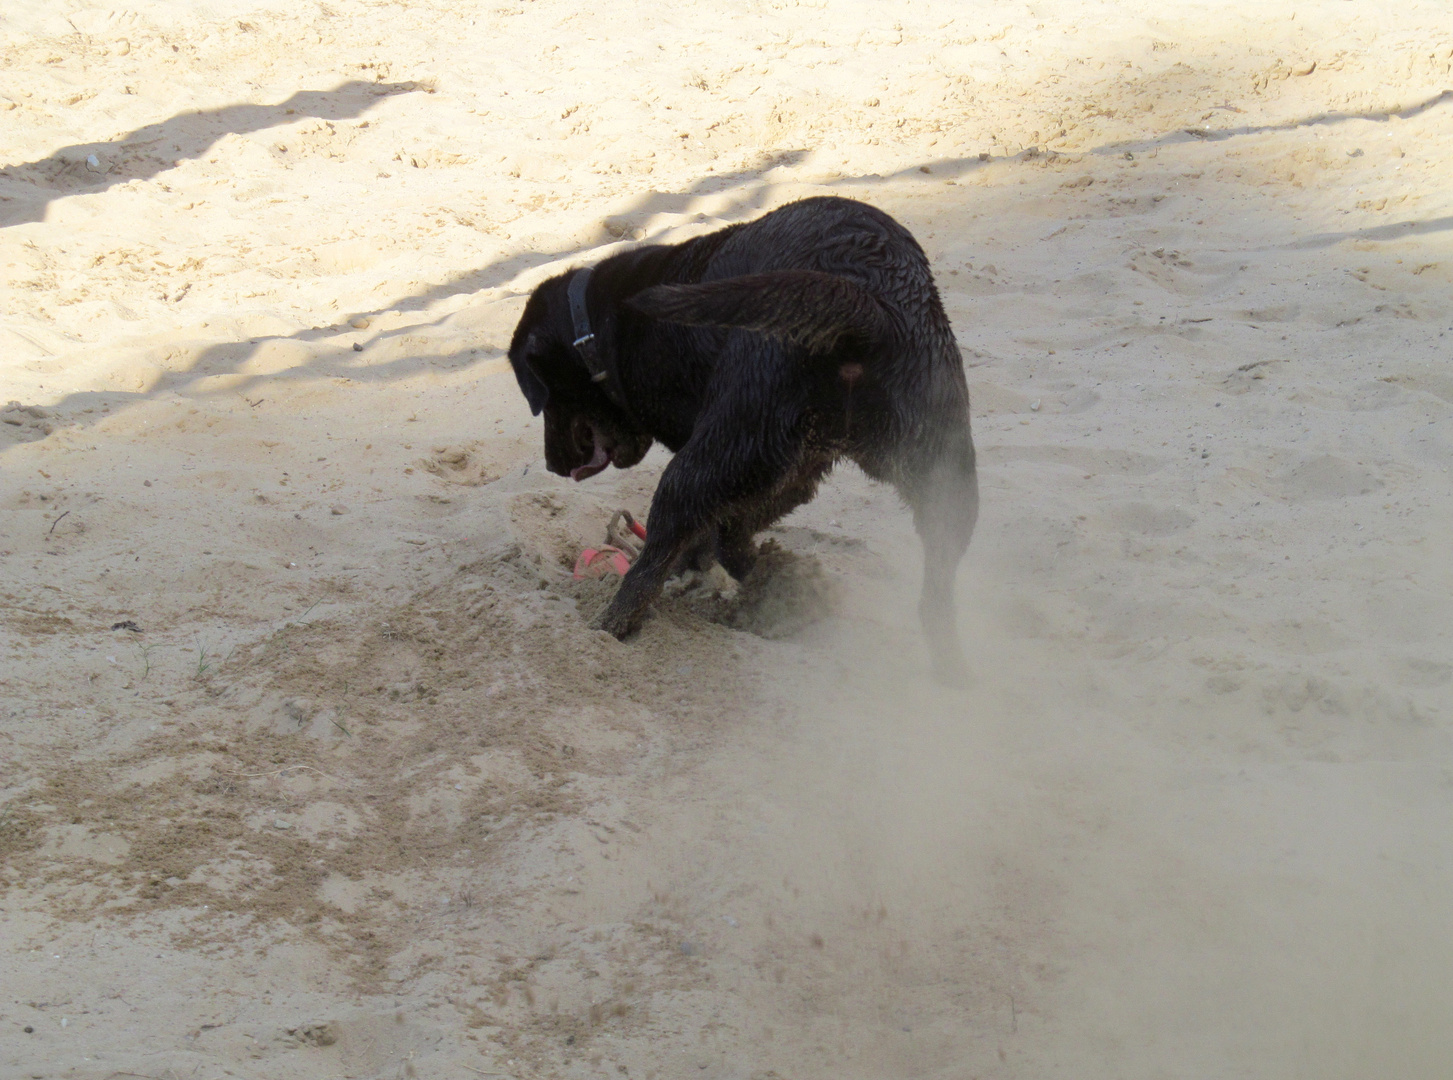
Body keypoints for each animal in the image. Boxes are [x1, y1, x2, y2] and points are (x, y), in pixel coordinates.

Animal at [508, 196, 976, 683]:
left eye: (542, 397)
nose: (551, 464)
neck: (594, 328)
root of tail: (865, 301)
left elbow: (701, 539)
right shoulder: (789, 472)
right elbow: (726, 534)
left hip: (708, 456)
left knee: (652, 559)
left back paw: (610, 623)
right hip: (944, 476)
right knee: (936, 590)